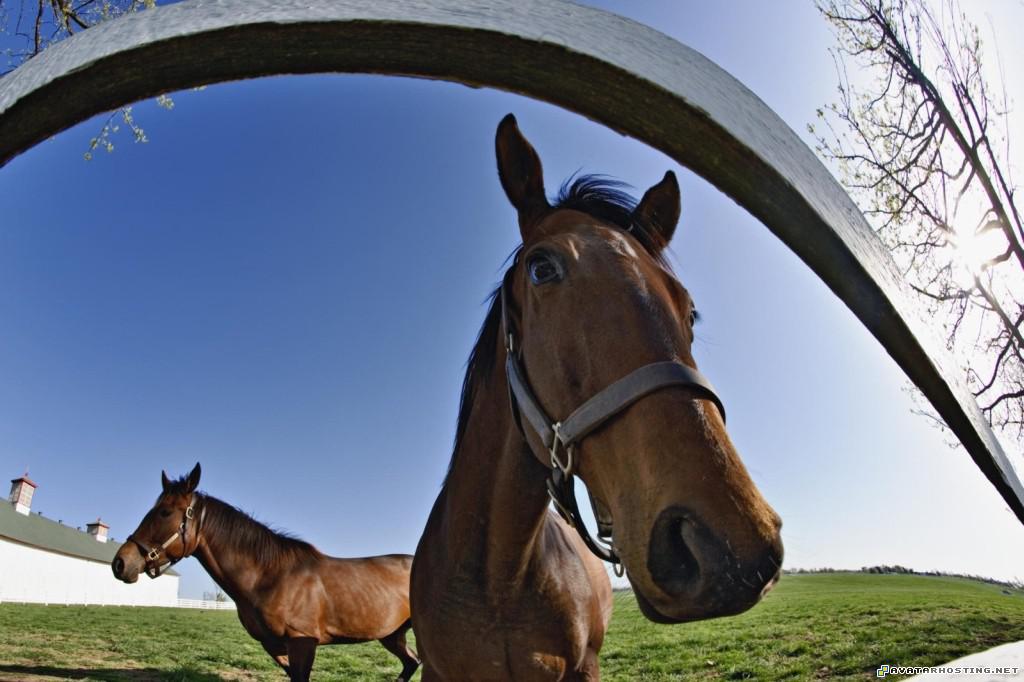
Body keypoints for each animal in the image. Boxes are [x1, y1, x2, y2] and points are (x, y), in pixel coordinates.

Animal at [112, 463, 419, 682]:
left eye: (165, 512)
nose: (121, 563)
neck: (270, 577)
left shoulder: (302, 644)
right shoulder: (274, 646)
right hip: (392, 635)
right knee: (411, 663)